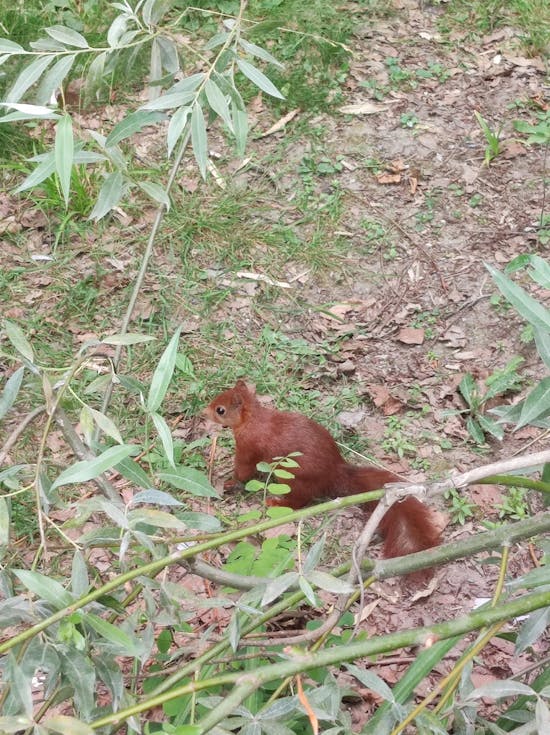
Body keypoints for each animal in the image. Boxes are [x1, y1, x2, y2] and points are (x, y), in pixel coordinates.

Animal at [205, 380, 442, 564]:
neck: (254, 419)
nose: (203, 411)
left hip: (294, 479)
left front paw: (230, 481)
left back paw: (277, 502)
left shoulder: (248, 447)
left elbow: (244, 469)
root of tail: (335, 474)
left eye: (220, 410)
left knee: (299, 501)